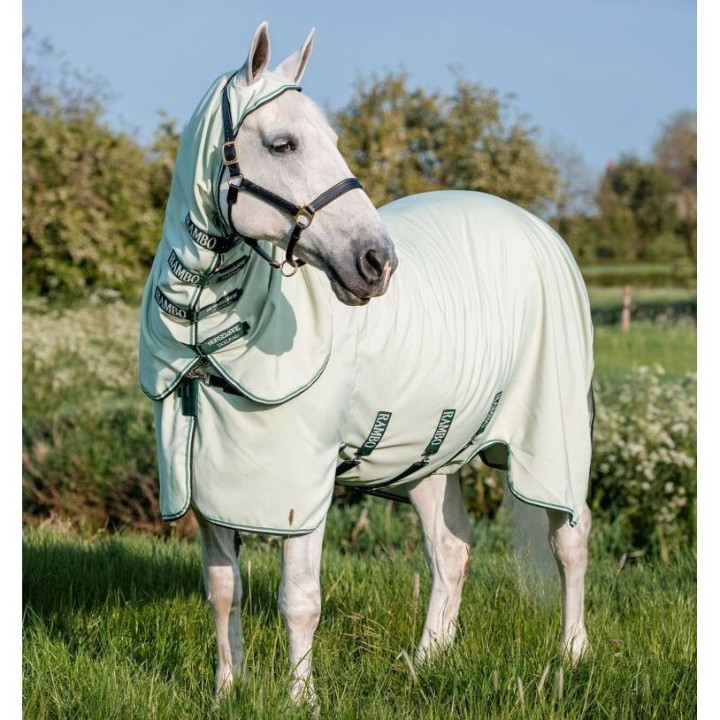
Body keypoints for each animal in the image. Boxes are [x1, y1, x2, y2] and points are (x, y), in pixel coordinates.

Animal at [138, 21, 594, 705]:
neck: (207, 331)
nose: (377, 261)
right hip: (433, 453)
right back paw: (427, 660)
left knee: (570, 538)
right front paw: (225, 691)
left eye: (332, 140)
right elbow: (224, 591)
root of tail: (540, 230)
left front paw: (300, 700)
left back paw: (571, 655)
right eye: (283, 143)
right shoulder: (206, 480)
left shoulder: (303, 486)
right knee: (450, 550)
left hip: (557, 434)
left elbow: (298, 598)